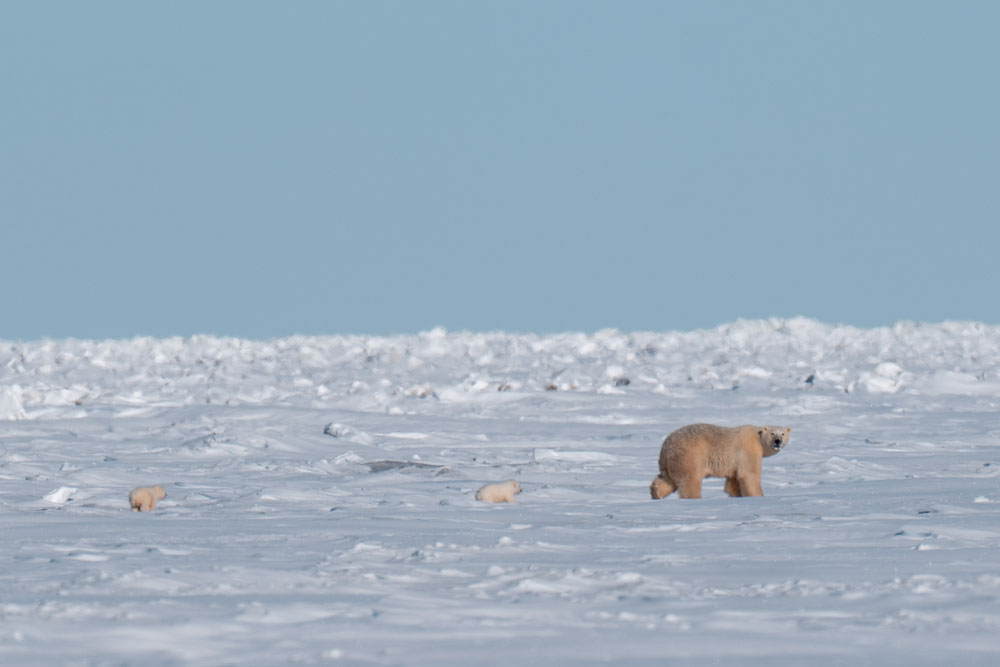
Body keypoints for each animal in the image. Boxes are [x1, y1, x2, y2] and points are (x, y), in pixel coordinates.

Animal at [648, 426, 788, 498]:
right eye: (772, 433)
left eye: (783, 433)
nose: (778, 441)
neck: (757, 437)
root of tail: (666, 447)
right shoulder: (748, 450)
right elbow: (749, 475)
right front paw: (758, 496)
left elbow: (733, 480)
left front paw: (735, 494)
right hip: (689, 456)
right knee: (690, 481)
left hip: (671, 463)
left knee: (667, 480)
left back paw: (656, 493)